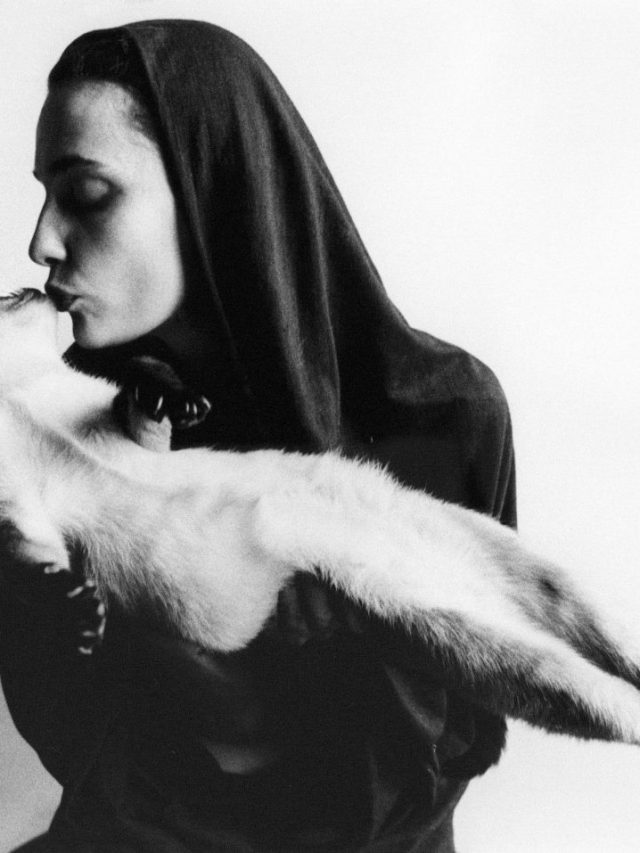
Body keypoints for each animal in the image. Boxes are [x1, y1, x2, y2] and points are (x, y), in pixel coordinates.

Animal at [1, 287, 640, 748]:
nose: (34, 288)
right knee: (602, 686)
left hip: (538, 599)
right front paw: (68, 608)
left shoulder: (131, 437)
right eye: (10, 294)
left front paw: (163, 390)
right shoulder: (24, 508)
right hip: (490, 641)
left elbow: (141, 400)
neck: (17, 394)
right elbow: (28, 555)